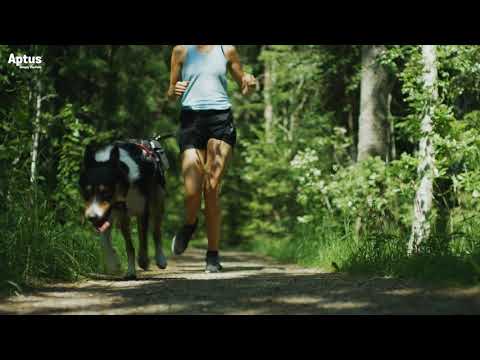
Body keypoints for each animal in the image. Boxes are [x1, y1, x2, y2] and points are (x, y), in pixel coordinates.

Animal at [79, 139, 169, 280]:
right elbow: (121, 245)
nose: (92, 217)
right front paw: (116, 265)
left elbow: (143, 239)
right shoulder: (119, 214)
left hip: (157, 202)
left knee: (156, 232)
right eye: (87, 192)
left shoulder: (142, 210)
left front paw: (143, 260)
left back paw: (160, 259)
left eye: (106, 192)